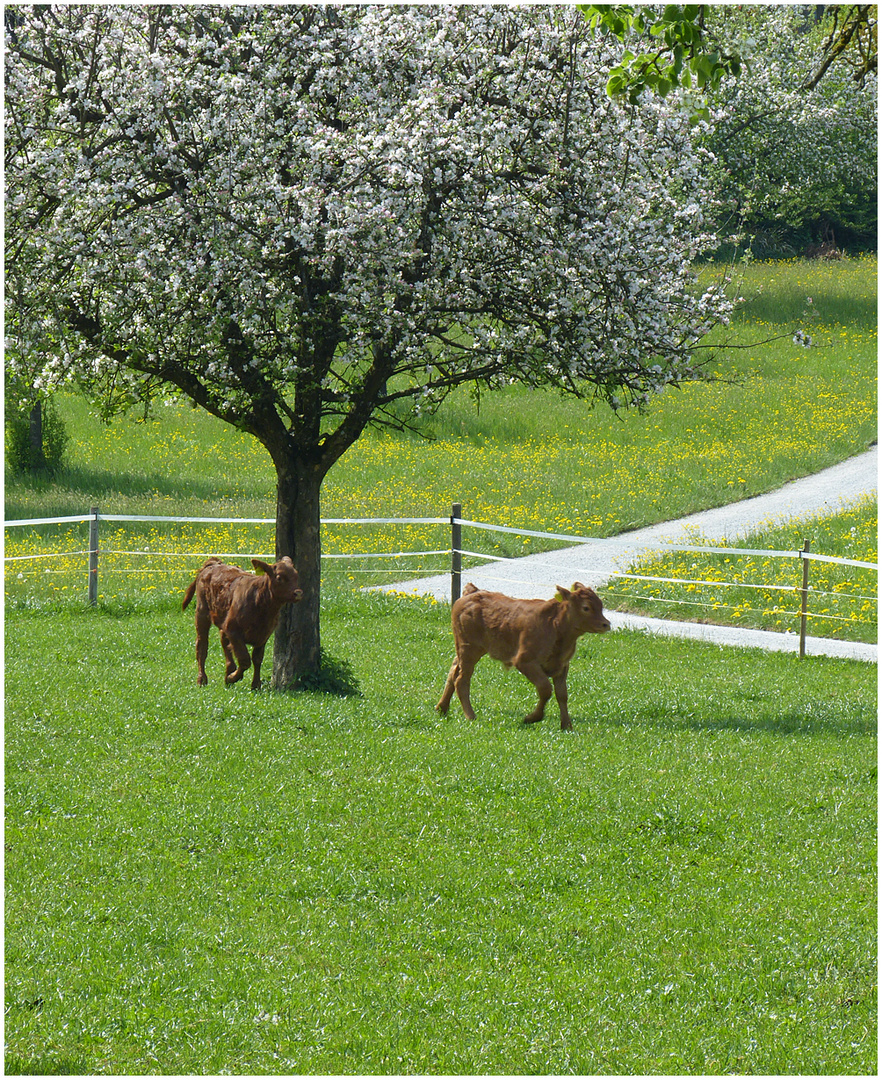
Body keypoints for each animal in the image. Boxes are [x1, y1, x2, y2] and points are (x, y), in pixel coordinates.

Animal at [436, 587, 608, 730]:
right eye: (586, 607)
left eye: (600, 605)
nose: (606, 624)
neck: (555, 626)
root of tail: (472, 592)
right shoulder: (524, 661)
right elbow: (545, 689)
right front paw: (532, 718)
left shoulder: (562, 666)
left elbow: (562, 694)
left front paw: (566, 725)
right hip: (469, 650)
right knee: (461, 680)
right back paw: (470, 716)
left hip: (466, 650)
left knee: (453, 671)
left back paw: (442, 708)